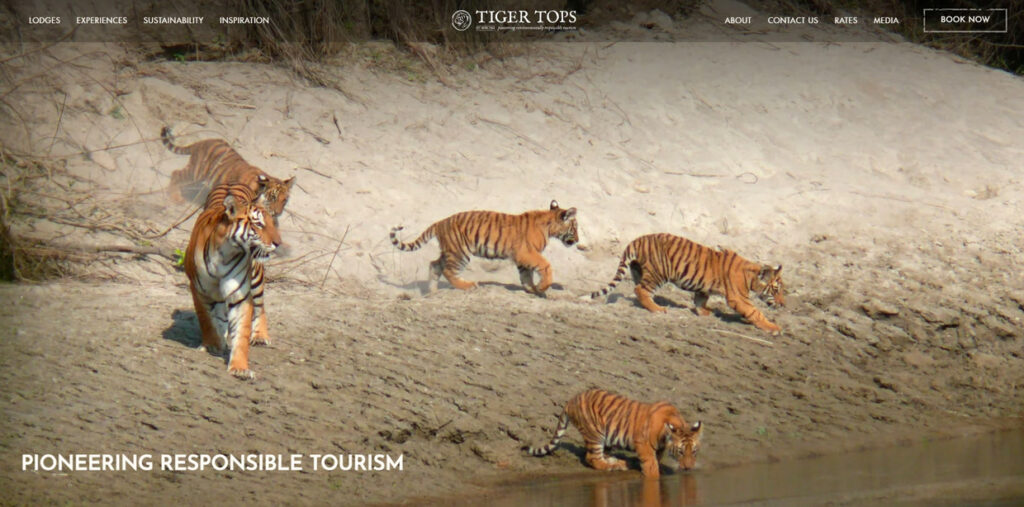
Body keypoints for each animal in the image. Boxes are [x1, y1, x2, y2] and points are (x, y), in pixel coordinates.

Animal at [161, 126, 295, 218]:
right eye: (273, 197)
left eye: (284, 200)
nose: (277, 213)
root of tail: (201, 142)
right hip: (196, 172)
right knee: (176, 173)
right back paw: (175, 197)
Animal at [184, 183, 281, 379]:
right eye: (259, 224)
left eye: (271, 223)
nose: (278, 243)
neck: (226, 253)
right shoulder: (199, 290)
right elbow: (206, 320)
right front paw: (213, 345)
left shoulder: (241, 295)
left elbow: (242, 332)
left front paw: (240, 367)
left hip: (256, 278)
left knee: (260, 306)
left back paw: (260, 336)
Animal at [389, 200, 578, 296]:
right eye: (575, 227)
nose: (577, 240)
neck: (549, 225)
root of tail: (440, 222)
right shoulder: (527, 252)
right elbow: (545, 266)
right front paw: (542, 287)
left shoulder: (523, 257)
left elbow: (526, 275)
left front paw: (533, 289)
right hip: (460, 253)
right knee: (449, 271)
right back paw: (469, 286)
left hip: (450, 251)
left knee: (434, 265)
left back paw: (432, 292)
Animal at [524, 388, 703, 478]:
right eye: (680, 451)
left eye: (694, 451)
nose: (688, 468)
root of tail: (571, 400)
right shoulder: (643, 444)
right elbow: (650, 464)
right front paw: (654, 475)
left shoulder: (659, 448)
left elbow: (656, 459)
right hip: (595, 433)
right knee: (592, 458)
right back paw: (615, 466)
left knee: (602, 455)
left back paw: (619, 462)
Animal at [590, 233, 785, 334]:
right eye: (776, 290)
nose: (783, 304)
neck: (751, 276)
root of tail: (638, 239)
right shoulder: (739, 298)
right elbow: (756, 312)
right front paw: (773, 327)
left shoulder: (704, 287)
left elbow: (700, 299)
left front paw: (704, 312)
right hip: (659, 273)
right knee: (641, 290)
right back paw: (658, 309)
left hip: (640, 270)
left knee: (638, 290)